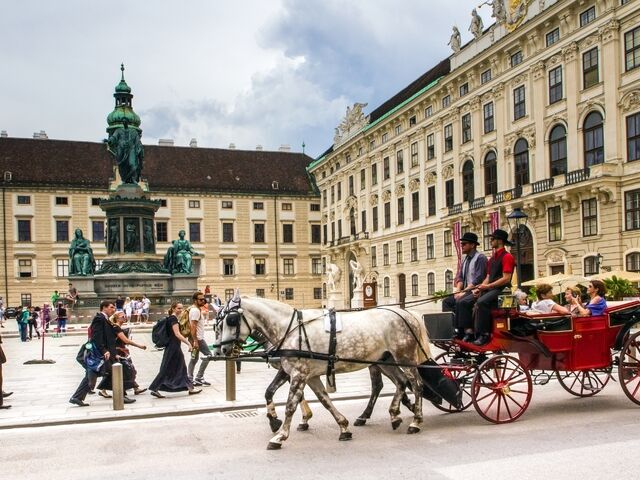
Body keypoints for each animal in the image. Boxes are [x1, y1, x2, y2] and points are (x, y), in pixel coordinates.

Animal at [220, 290, 430, 452]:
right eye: (218, 323)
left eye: (231, 320)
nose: (222, 349)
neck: (290, 329)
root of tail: (406, 313)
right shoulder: (306, 375)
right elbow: (322, 400)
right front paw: (343, 427)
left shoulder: (299, 374)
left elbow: (290, 405)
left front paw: (280, 436)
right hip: (384, 360)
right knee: (400, 382)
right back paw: (393, 414)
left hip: (404, 358)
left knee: (416, 385)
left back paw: (415, 420)